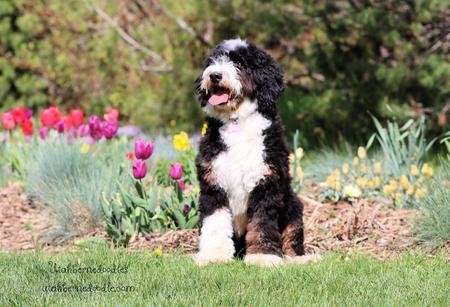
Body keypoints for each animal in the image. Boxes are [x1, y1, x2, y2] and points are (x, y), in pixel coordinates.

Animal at [194, 39, 320, 268]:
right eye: (213, 61)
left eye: (239, 64)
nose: (214, 75)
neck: (236, 123)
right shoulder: (213, 186)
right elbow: (214, 223)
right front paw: (213, 255)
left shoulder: (266, 184)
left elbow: (262, 224)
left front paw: (263, 256)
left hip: (293, 206)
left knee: (292, 242)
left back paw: (301, 259)